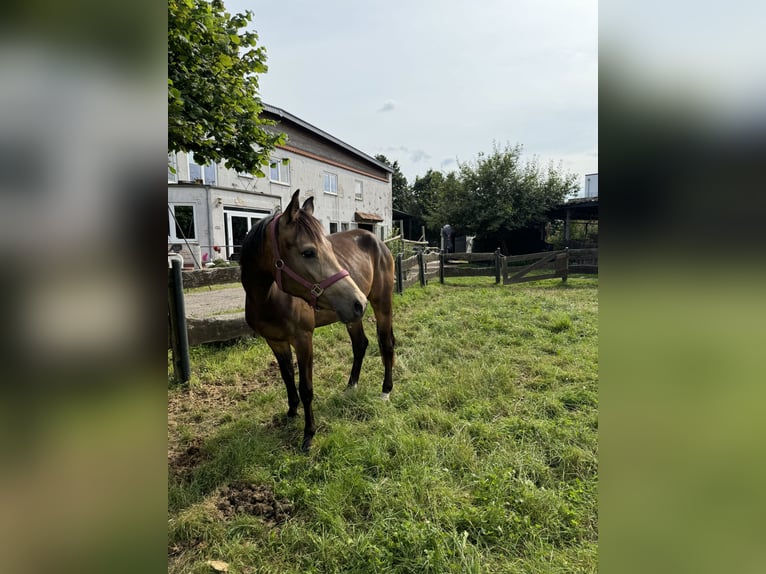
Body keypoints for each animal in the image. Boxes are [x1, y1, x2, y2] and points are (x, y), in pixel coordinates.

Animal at [240, 189, 396, 450]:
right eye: (308, 252)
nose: (359, 301)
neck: (269, 297)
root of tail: (378, 241)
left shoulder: (303, 340)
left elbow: (306, 388)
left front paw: (309, 434)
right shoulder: (275, 342)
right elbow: (287, 377)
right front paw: (291, 412)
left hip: (381, 305)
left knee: (386, 344)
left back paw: (385, 391)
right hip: (351, 316)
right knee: (360, 344)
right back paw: (351, 387)